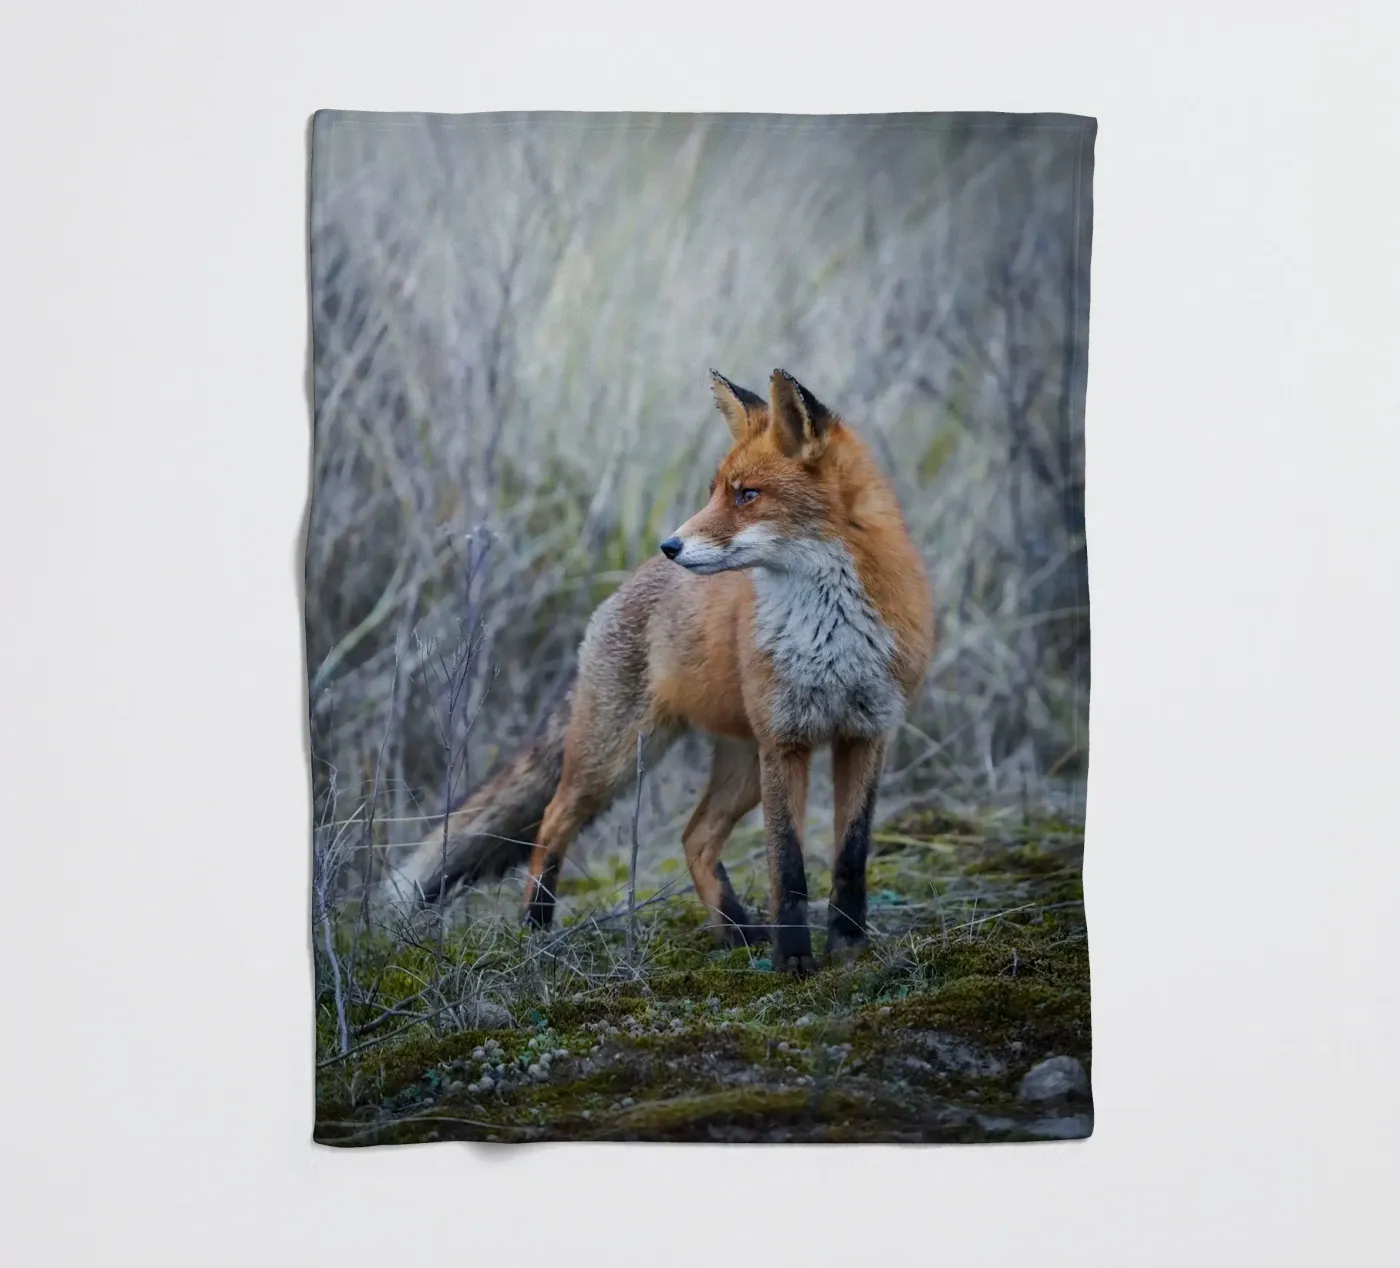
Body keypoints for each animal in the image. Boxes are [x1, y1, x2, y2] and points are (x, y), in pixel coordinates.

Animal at [398, 369, 935, 974]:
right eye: (715, 491)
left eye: (747, 495)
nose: (671, 544)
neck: (829, 632)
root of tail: (625, 586)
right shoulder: (785, 742)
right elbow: (789, 868)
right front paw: (794, 961)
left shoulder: (866, 733)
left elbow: (850, 856)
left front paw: (848, 948)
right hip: (617, 757)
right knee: (553, 821)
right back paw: (534, 928)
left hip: (741, 766)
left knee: (694, 838)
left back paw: (737, 931)